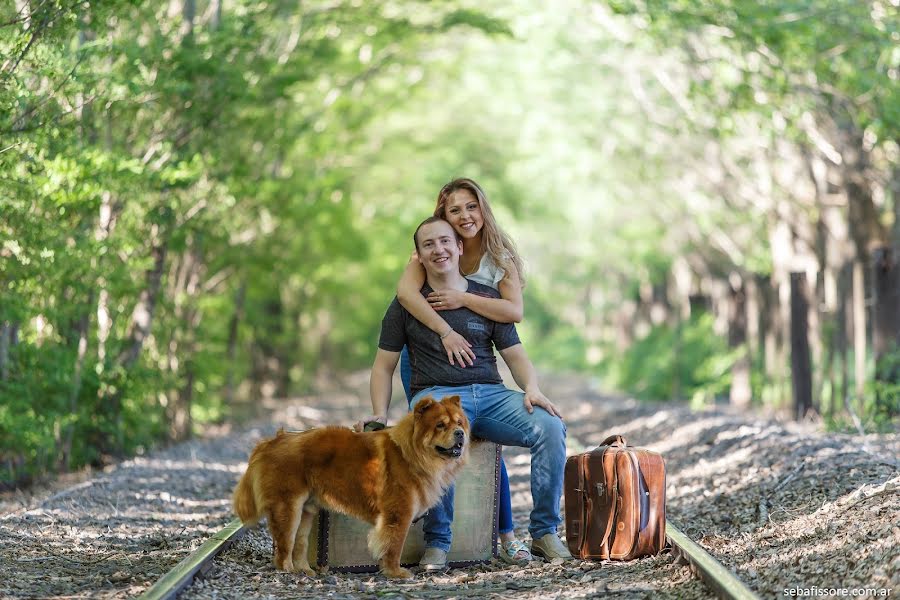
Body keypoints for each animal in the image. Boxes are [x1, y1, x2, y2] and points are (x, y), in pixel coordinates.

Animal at [232, 396, 472, 580]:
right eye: (440, 425)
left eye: (459, 423)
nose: (460, 433)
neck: (412, 455)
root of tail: (272, 441)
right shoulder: (398, 514)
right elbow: (394, 547)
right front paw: (396, 573)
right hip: (288, 507)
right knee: (284, 545)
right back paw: (289, 571)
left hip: (305, 511)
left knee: (299, 544)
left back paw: (305, 570)